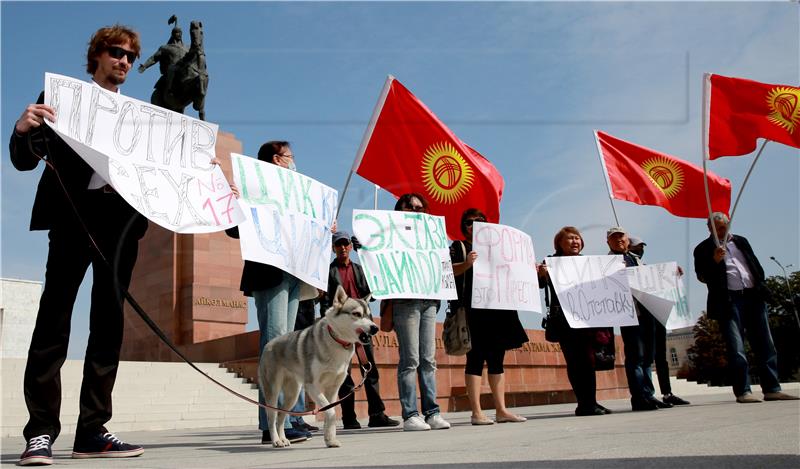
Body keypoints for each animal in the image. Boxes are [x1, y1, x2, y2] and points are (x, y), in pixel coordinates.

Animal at [260, 284, 378, 448]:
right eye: (357, 314)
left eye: (368, 315)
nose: (375, 328)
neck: (338, 342)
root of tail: (268, 344)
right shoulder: (312, 386)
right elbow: (331, 413)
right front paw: (329, 437)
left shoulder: (333, 389)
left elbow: (330, 413)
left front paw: (330, 439)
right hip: (273, 391)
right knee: (271, 417)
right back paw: (276, 440)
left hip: (293, 395)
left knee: (281, 416)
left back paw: (284, 439)